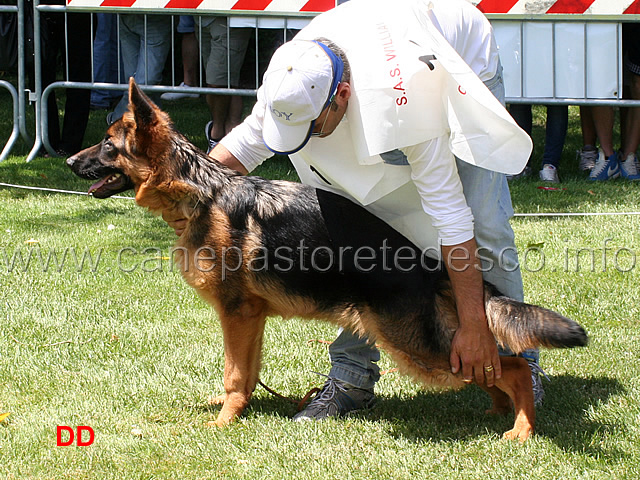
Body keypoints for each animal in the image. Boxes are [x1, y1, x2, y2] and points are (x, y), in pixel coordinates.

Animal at [67, 79, 588, 442]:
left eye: (109, 144)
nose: (71, 161)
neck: (204, 192)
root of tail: (431, 266)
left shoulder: (237, 313)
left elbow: (235, 373)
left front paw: (224, 422)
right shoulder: (251, 319)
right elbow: (247, 372)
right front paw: (237, 409)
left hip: (418, 347)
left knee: (513, 367)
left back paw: (522, 428)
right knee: (495, 368)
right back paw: (499, 411)